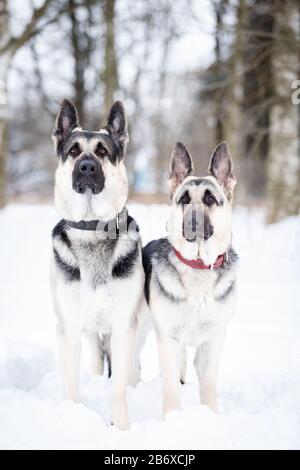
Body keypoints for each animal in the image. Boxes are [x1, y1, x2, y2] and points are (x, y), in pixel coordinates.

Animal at [50, 99, 144, 430]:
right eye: (74, 151)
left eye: (102, 151)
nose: (87, 167)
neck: (92, 227)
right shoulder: (70, 325)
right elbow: (70, 382)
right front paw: (72, 418)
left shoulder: (123, 325)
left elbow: (118, 388)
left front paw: (122, 427)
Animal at [143, 141, 239, 416]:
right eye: (184, 199)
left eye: (210, 199)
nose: (193, 222)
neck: (198, 267)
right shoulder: (168, 341)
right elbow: (171, 390)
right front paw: (173, 419)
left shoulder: (213, 341)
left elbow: (207, 385)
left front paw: (209, 416)